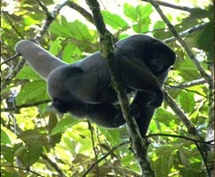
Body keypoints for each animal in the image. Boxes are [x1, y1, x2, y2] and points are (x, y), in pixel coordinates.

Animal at [15, 34, 176, 137]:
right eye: (158, 55)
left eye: (164, 60)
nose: (159, 62)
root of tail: (63, 66)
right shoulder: (138, 41)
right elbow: (120, 60)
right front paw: (157, 90)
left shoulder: (163, 72)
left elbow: (145, 97)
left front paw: (141, 139)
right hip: (61, 81)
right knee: (82, 84)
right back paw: (102, 93)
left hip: (74, 104)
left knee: (90, 109)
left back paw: (118, 118)